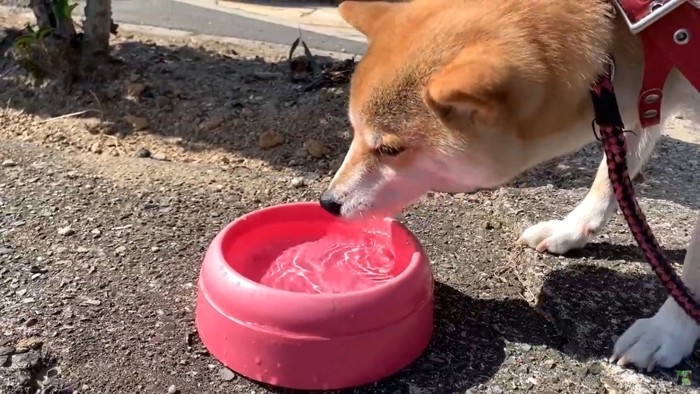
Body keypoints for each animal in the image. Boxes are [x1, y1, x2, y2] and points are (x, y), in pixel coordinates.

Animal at [322, 0, 700, 372]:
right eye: (353, 131)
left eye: (389, 150)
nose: (328, 202)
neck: (628, 31)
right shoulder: (643, 100)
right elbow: (612, 172)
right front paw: (573, 228)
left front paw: (669, 329)